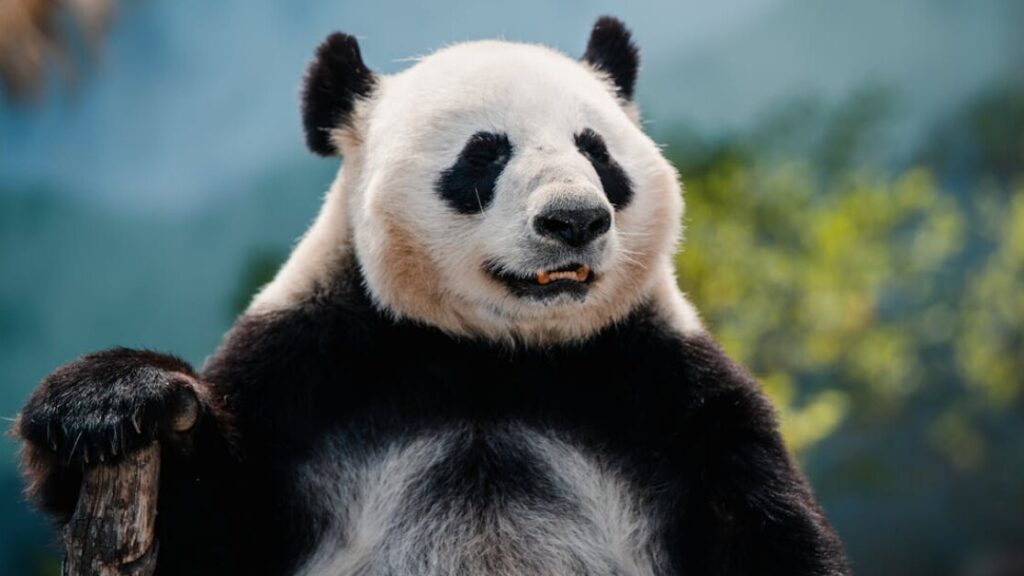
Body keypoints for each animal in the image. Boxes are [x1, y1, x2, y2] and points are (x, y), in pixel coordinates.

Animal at [16, 16, 850, 576]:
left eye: (596, 151)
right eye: (485, 153)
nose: (574, 220)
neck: (493, 355)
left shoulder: (665, 390)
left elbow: (765, 531)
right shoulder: (309, 371)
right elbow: (208, 528)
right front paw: (112, 399)